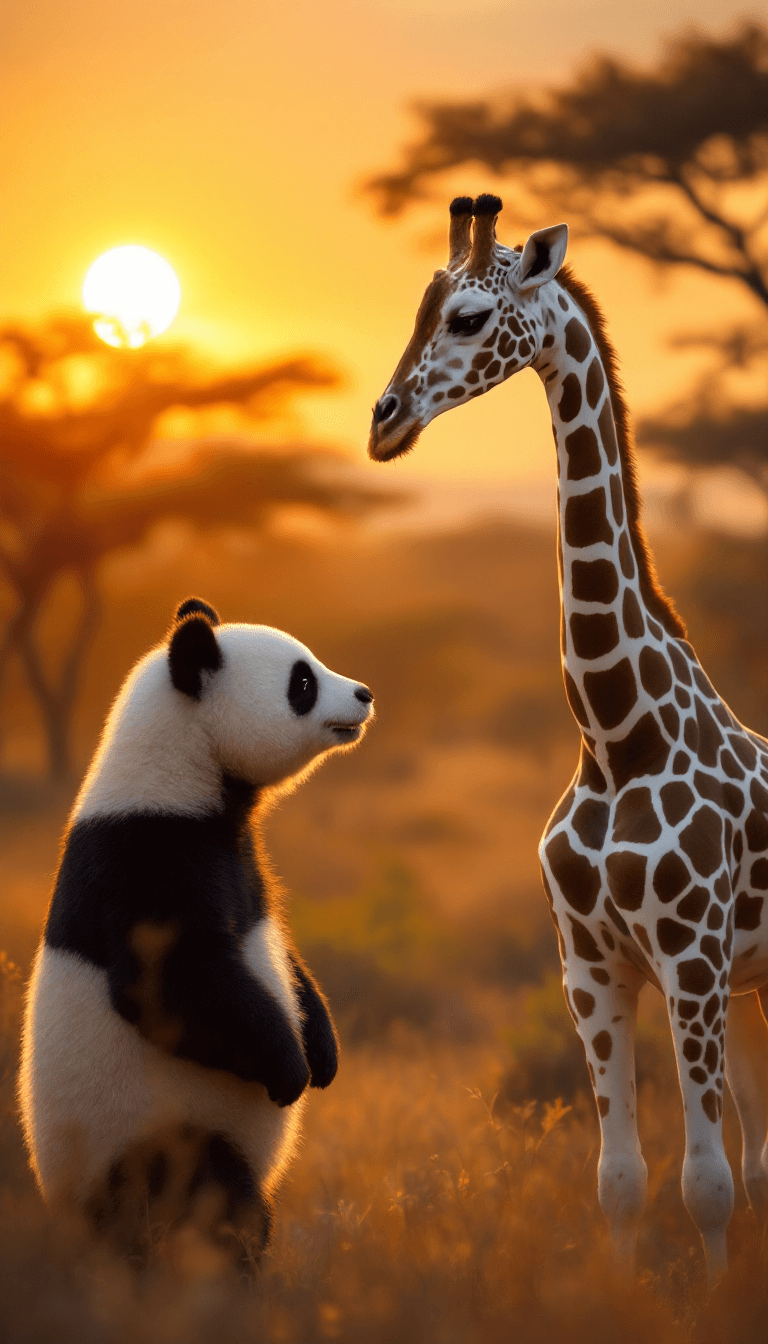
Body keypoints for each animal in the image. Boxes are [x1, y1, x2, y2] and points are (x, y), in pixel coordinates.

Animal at [19, 597, 374, 1257]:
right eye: (302, 683)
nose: (363, 695)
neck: (180, 763)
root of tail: (71, 1221)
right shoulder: (146, 854)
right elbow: (172, 979)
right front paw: (291, 1067)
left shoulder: (239, 851)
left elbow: (281, 950)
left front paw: (324, 1052)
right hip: (146, 1138)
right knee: (203, 1194)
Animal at [368, 193, 768, 1288]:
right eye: (418, 308)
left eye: (468, 317)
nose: (384, 423)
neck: (616, 733)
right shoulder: (589, 965)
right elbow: (622, 1180)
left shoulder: (690, 959)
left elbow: (705, 1181)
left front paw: (714, 1301)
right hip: (752, 984)